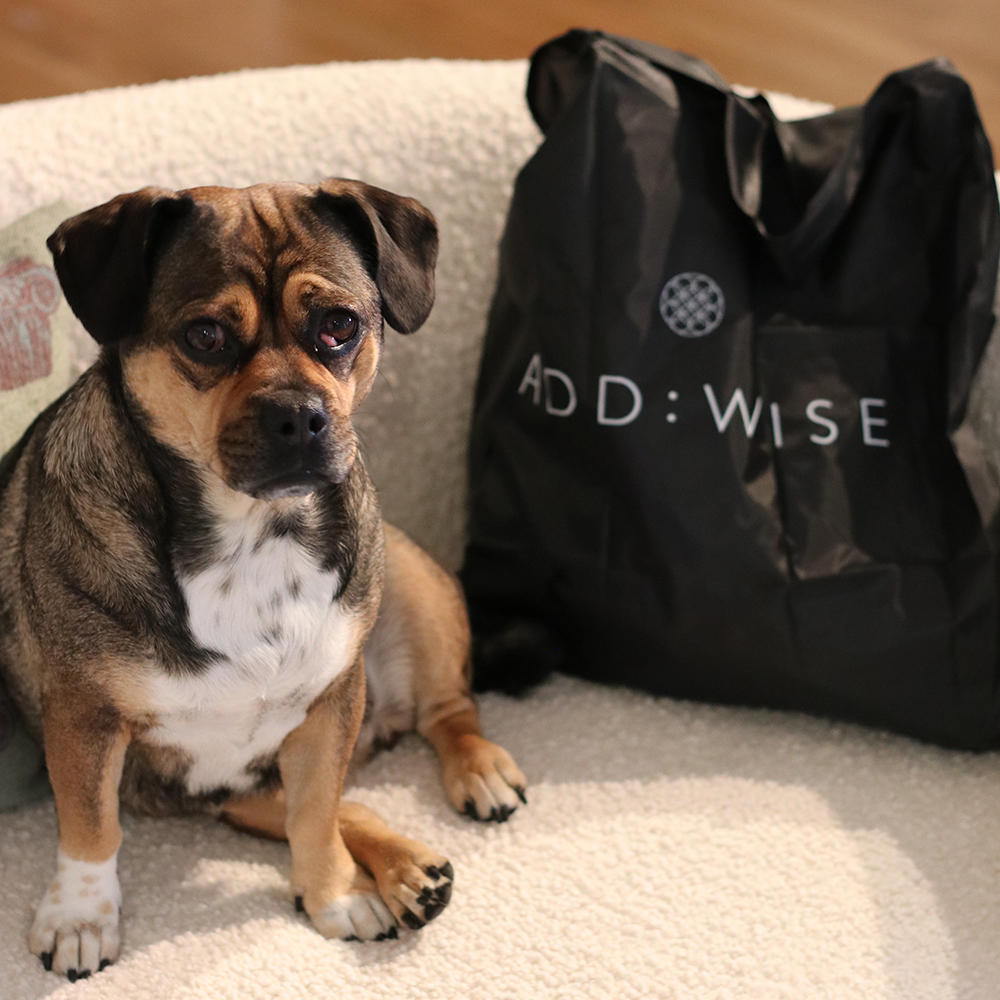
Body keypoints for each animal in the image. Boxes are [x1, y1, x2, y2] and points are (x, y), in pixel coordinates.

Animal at [0, 179, 527, 980]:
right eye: (205, 336)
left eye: (340, 325)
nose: (299, 416)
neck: (252, 534)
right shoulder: (85, 716)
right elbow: (90, 826)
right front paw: (81, 919)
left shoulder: (331, 700)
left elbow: (314, 813)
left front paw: (334, 895)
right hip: (228, 789)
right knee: (353, 802)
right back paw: (411, 870)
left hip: (411, 580)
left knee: (446, 711)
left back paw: (477, 774)